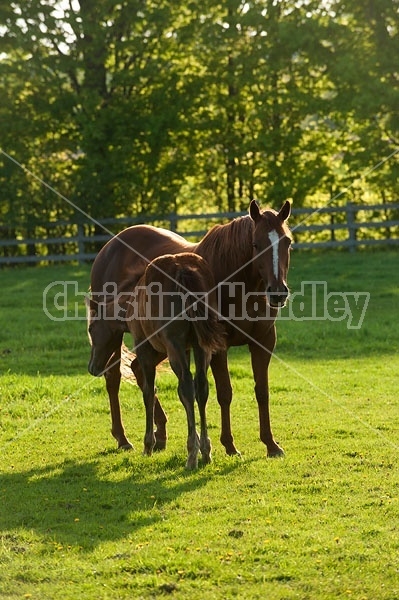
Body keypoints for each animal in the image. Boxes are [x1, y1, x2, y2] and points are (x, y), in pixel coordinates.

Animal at [126, 252, 225, 468]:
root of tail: (182, 269)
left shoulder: (143, 347)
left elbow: (149, 392)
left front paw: (148, 445)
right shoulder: (188, 348)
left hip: (173, 344)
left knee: (187, 385)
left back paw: (192, 454)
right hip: (200, 345)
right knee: (201, 385)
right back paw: (205, 451)